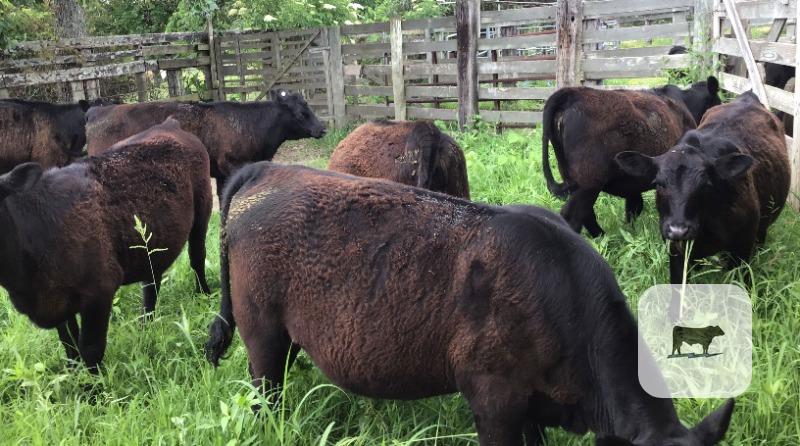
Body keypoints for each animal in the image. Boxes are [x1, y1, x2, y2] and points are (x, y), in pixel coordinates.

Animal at [0, 117, 212, 371]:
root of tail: (169, 124)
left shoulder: (99, 290)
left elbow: (90, 349)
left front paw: (97, 382)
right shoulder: (56, 302)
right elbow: (69, 346)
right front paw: (76, 376)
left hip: (203, 209)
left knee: (197, 257)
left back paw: (204, 296)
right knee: (151, 280)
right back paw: (145, 324)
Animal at [541, 77, 720, 236]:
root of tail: (573, 93)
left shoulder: (633, 182)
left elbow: (633, 208)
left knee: (587, 215)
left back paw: (603, 236)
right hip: (588, 183)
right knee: (574, 216)